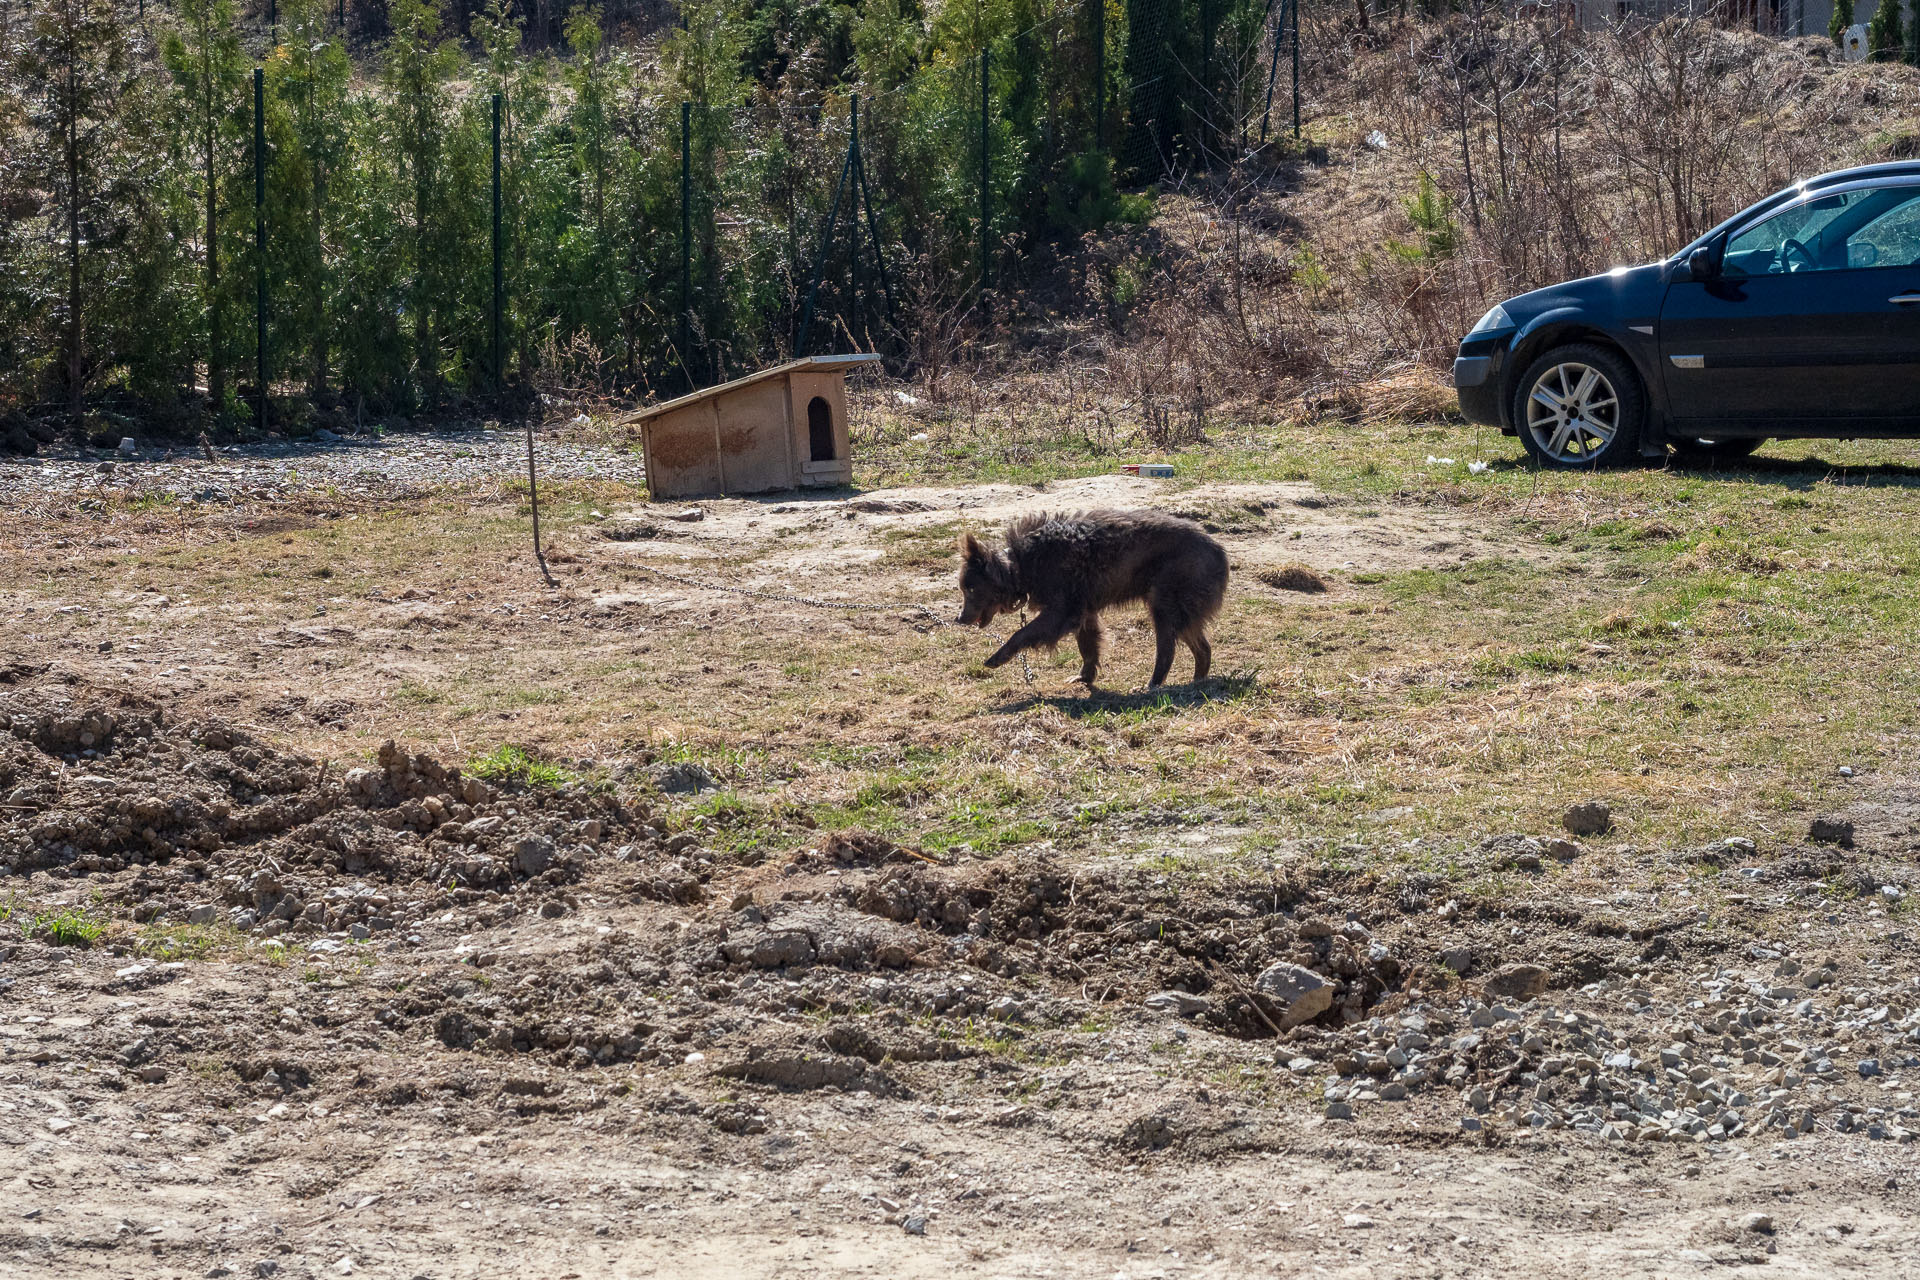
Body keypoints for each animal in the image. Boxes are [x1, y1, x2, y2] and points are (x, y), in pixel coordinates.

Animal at [956, 510, 1228, 690]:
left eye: (971, 589)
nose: (959, 619)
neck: (1020, 565)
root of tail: (1218, 550)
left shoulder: (1063, 608)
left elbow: (1024, 633)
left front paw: (997, 657)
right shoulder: (1084, 609)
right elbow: (1087, 645)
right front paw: (1084, 677)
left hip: (1165, 601)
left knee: (1167, 648)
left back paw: (1152, 684)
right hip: (1182, 607)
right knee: (1202, 647)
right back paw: (1197, 682)